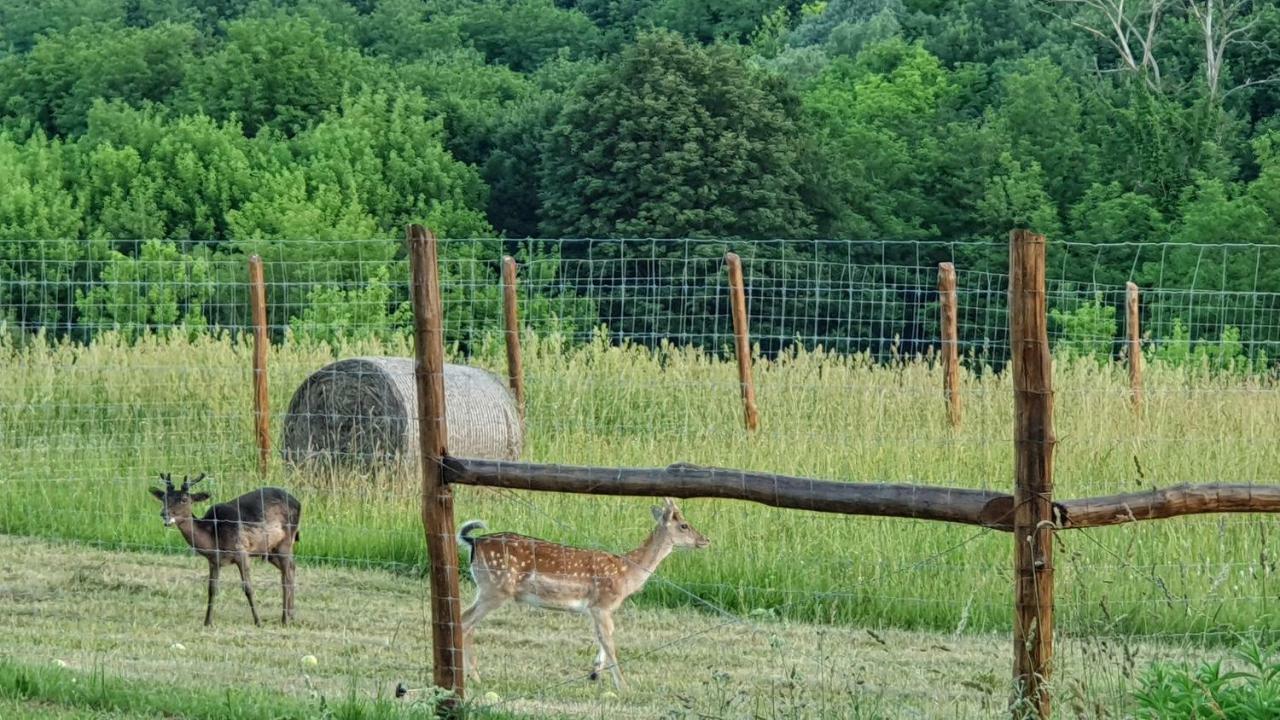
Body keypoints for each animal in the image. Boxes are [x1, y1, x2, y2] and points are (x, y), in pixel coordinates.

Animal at [147, 471, 302, 622]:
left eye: (184, 499)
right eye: (164, 498)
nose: (164, 514)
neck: (213, 537)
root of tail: (298, 502)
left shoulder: (241, 551)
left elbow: (248, 588)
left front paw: (258, 621)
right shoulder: (213, 560)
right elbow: (212, 589)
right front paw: (207, 622)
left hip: (286, 541)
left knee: (286, 577)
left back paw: (285, 619)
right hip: (270, 550)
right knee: (291, 568)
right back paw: (291, 615)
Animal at [455, 497, 711, 686]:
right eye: (684, 525)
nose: (705, 540)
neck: (627, 573)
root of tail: (474, 542)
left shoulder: (597, 609)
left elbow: (603, 639)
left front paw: (595, 673)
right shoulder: (602, 603)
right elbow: (609, 641)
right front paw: (623, 686)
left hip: (486, 588)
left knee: (466, 620)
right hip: (495, 589)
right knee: (465, 622)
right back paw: (473, 677)